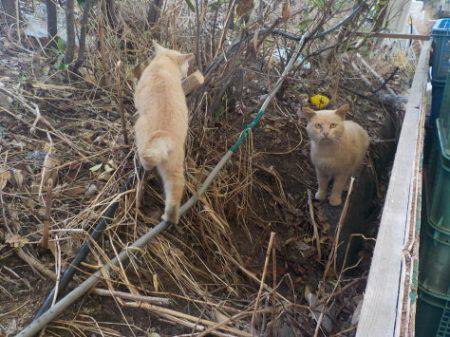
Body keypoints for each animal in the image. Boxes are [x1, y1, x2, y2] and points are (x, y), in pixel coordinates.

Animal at [135, 40, 195, 223]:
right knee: (175, 191)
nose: (187, 71)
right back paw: (170, 217)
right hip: (175, 168)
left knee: (146, 160)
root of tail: (166, 137)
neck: (165, 60)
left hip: (140, 129)